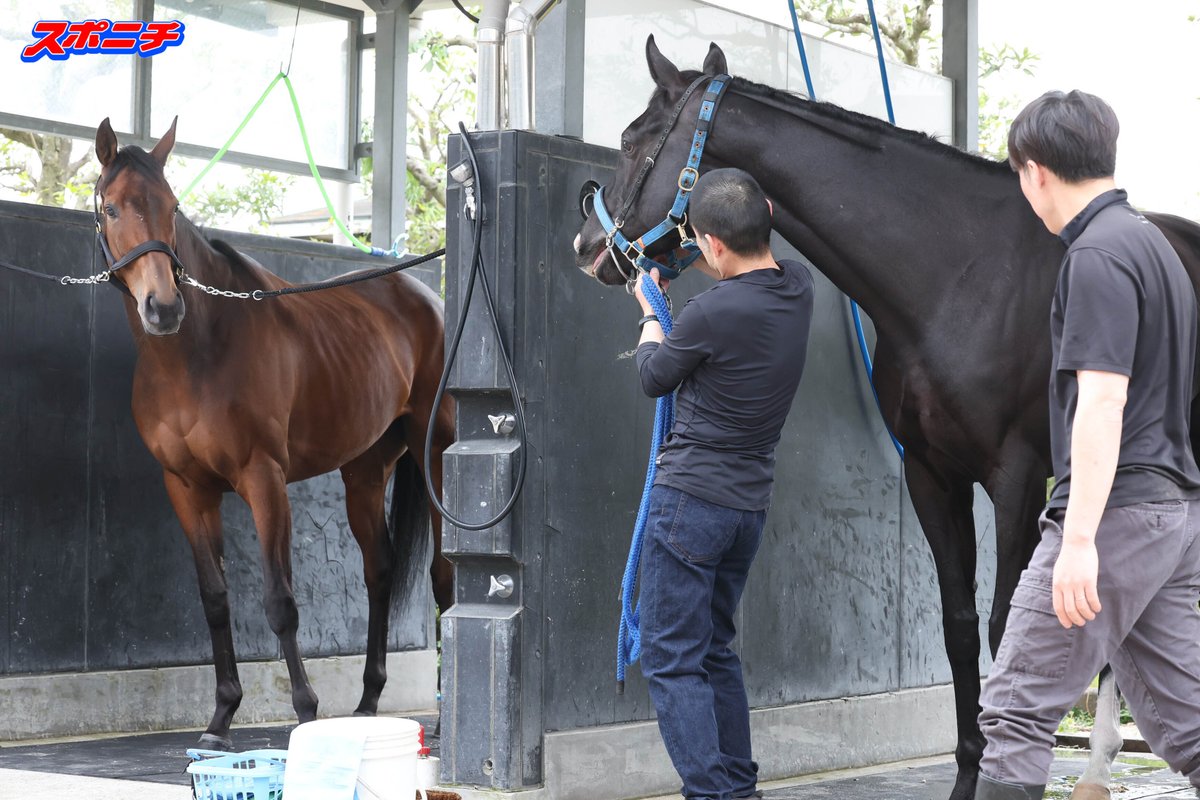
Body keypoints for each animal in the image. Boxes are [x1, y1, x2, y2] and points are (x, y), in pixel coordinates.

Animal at [93, 118, 453, 753]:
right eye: (111, 208)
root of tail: (426, 298)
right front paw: (219, 720)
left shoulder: (265, 480)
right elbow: (215, 599)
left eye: (172, 205)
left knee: (442, 575)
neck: (196, 354)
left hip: (434, 454)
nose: (163, 307)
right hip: (364, 472)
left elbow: (280, 601)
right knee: (379, 570)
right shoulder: (186, 488)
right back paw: (366, 703)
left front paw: (306, 714)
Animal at [568, 37, 1200, 800]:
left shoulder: (1017, 479)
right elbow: (960, 629)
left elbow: (1005, 629)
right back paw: (1101, 764)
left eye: (632, 140)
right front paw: (968, 774)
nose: (586, 248)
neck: (958, 274)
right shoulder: (931, 474)